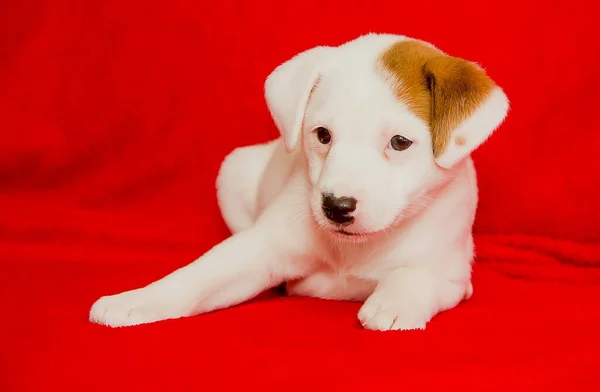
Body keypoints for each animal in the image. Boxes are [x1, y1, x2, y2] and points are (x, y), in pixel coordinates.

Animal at [90, 33, 510, 330]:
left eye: (400, 143)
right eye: (322, 135)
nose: (337, 207)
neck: (354, 250)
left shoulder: (453, 276)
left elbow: (417, 276)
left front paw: (394, 302)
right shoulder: (260, 249)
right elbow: (199, 275)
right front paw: (137, 299)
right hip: (232, 172)